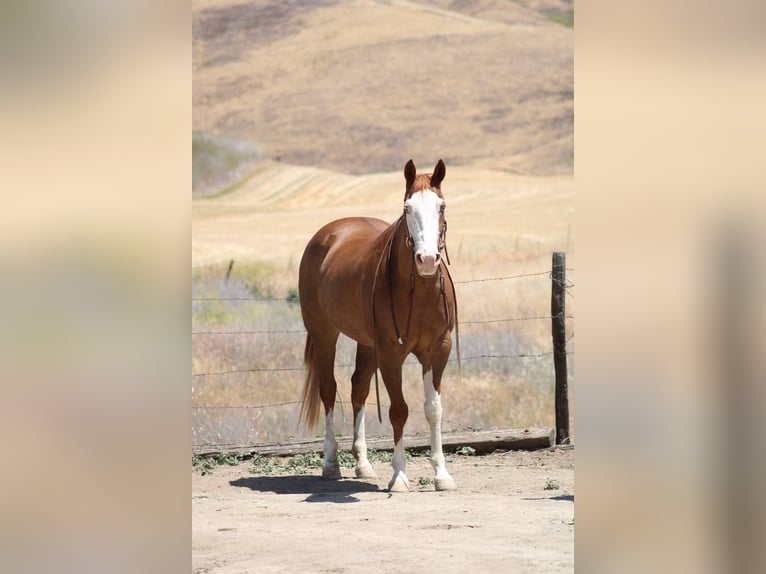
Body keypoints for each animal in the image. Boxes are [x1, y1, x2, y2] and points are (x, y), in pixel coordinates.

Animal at [298, 159, 459, 492]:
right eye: (407, 207)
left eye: (441, 206)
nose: (427, 259)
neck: (419, 292)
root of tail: (327, 234)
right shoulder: (390, 354)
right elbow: (399, 410)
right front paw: (399, 476)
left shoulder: (438, 350)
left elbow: (433, 409)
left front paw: (442, 474)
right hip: (324, 336)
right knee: (328, 390)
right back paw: (330, 463)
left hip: (367, 344)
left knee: (358, 389)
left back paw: (362, 464)